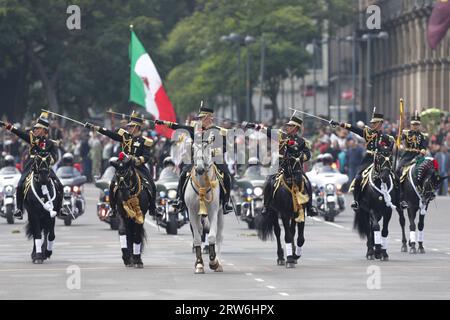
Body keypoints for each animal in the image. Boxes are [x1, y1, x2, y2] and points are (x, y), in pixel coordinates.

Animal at [184, 139, 224, 274]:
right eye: (193, 149)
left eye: (207, 147)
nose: (200, 169)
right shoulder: (191, 212)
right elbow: (197, 238)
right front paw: (199, 264)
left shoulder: (213, 211)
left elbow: (212, 236)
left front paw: (213, 262)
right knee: (200, 230)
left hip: (220, 213)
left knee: (219, 236)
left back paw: (219, 263)